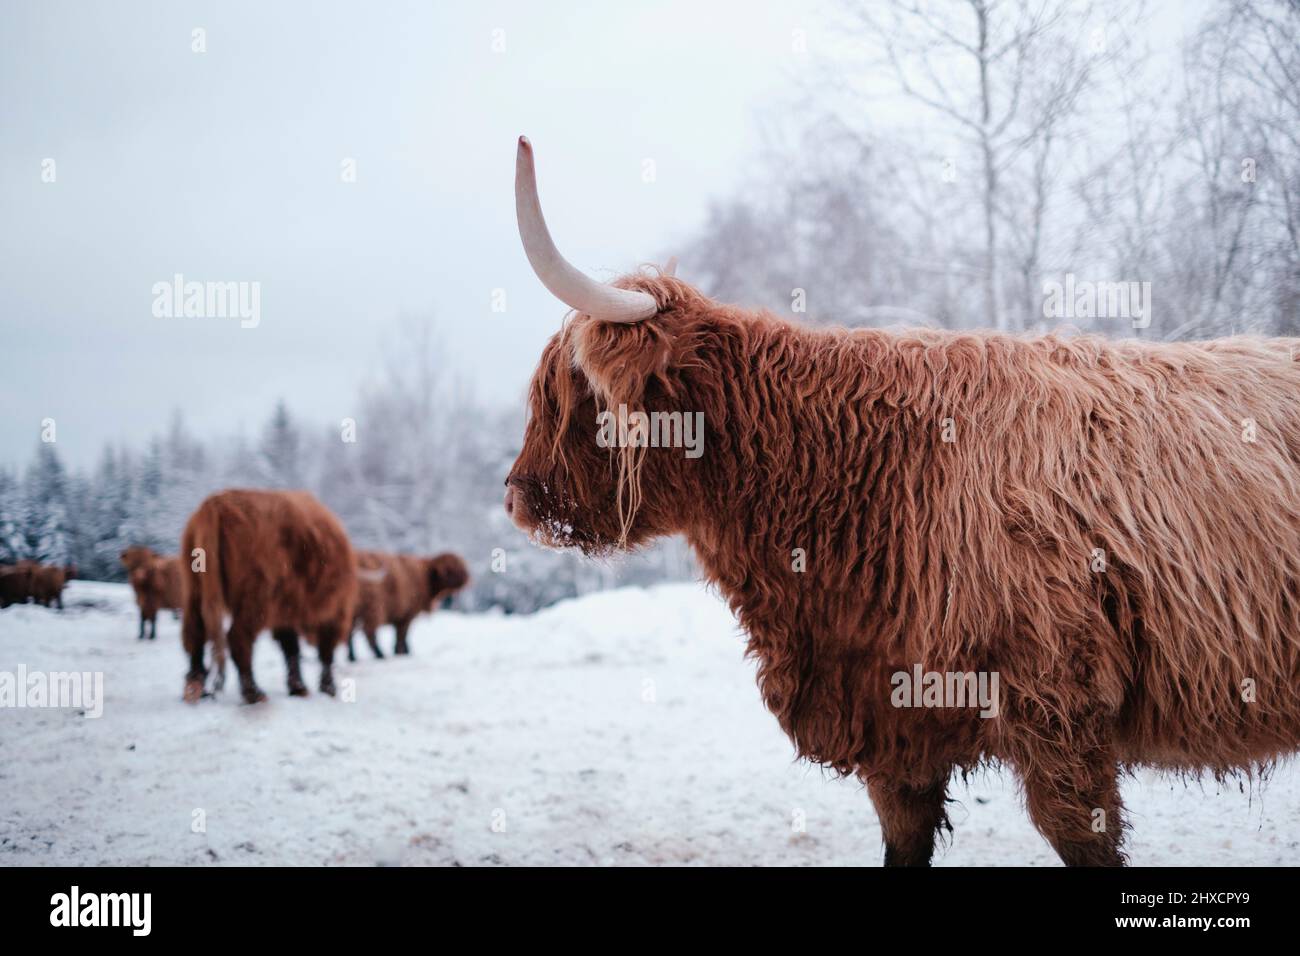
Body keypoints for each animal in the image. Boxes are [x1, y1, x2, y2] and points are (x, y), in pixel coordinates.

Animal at [180, 494, 358, 702]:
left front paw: (298, 687)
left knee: (195, 633)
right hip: (256, 598)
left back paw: (195, 688)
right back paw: (254, 693)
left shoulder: (286, 609)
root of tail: (215, 503)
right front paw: (327, 688)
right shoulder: (333, 610)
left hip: (195, 589)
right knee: (238, 637)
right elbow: (325, 651)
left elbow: (291, 647)